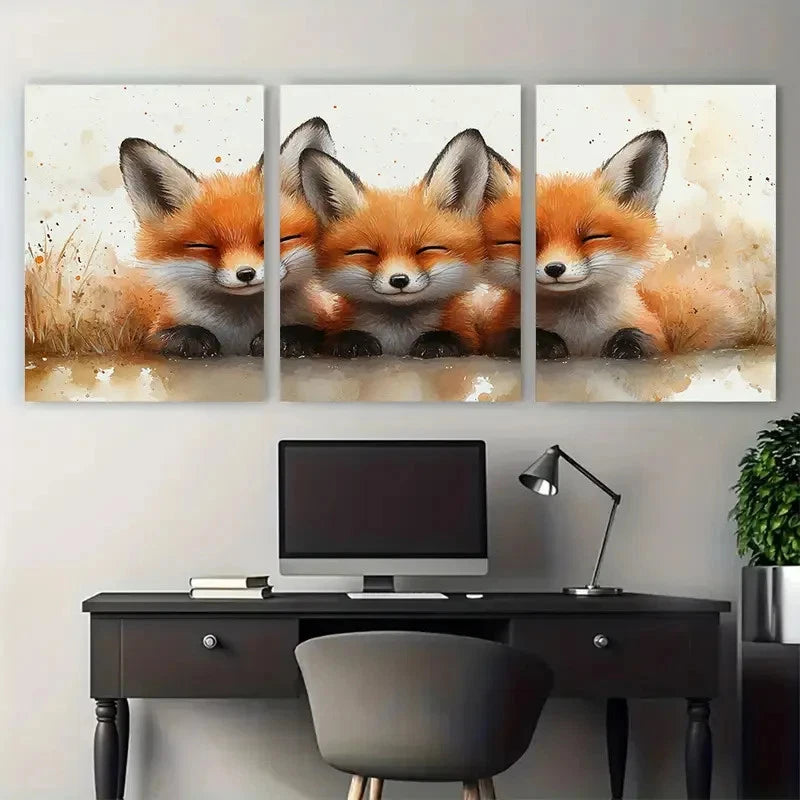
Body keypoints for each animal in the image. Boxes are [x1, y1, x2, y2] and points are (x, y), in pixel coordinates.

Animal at [298, 129, 490, 358]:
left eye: (427, 249)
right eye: (365, 252)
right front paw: (353, 342)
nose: (399, 280)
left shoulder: (469, 335)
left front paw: (436, 342)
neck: (398, 337)